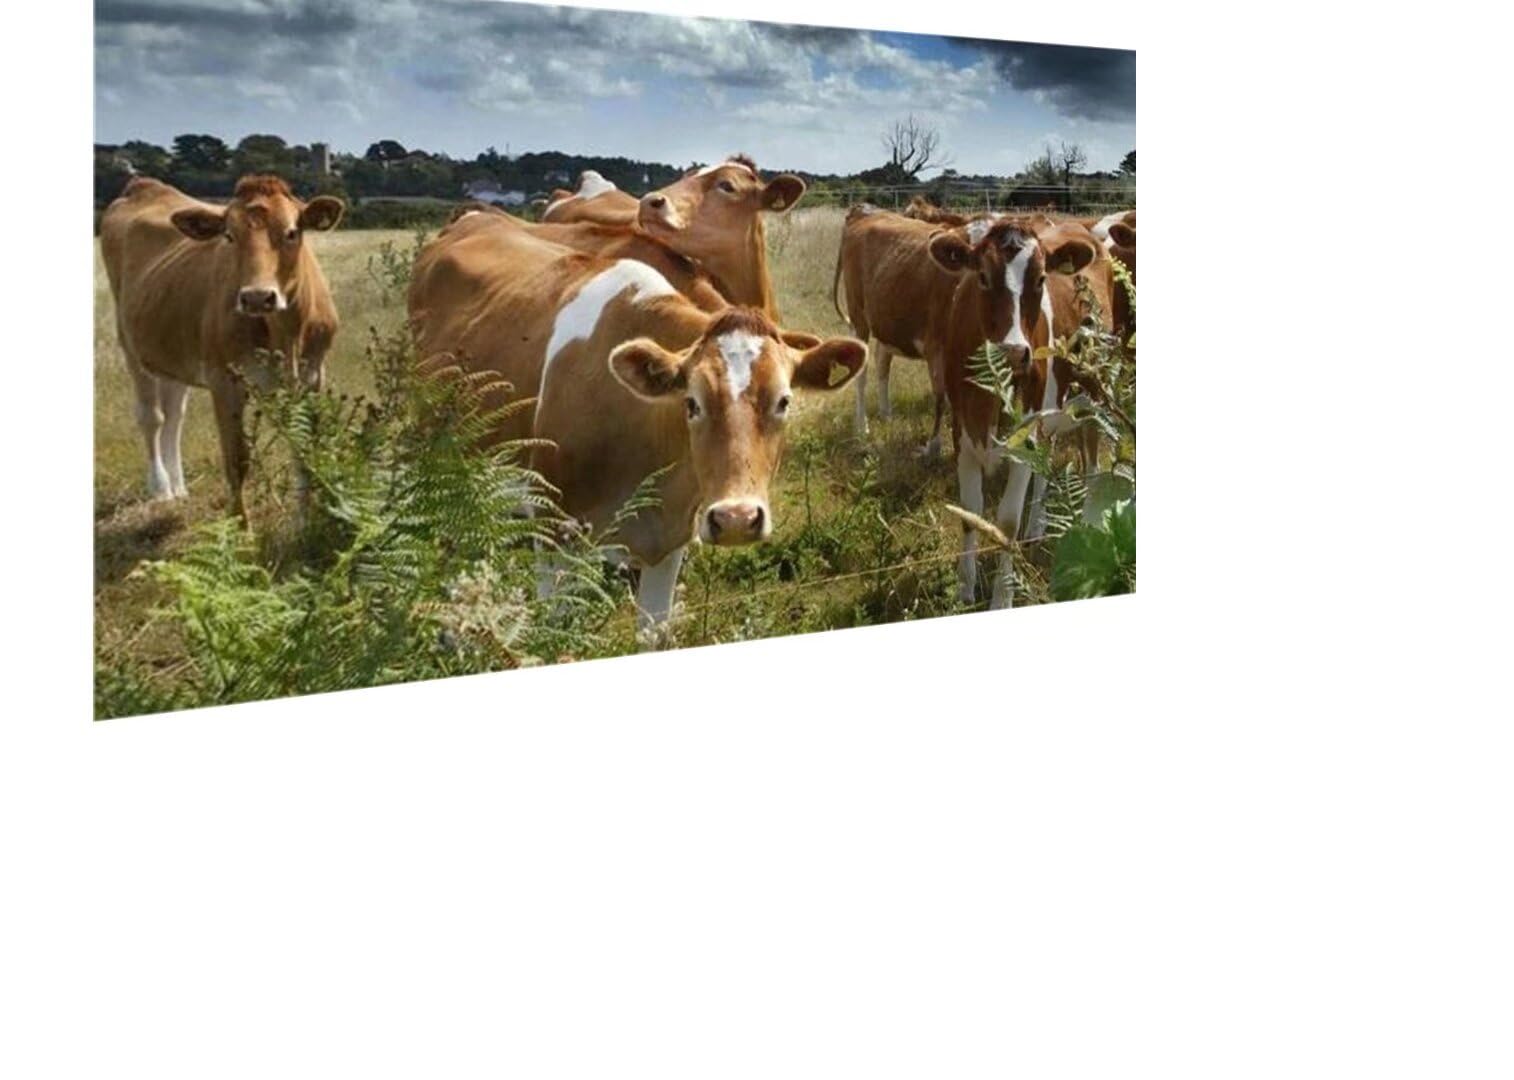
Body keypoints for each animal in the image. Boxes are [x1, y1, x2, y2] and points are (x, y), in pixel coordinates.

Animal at [100, 175, 344, 518]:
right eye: (229, 235)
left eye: (291, 232)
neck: (286, 335)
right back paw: (161, 488)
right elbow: (236, 462)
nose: (257, 297)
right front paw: (241, 527)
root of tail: (144, 186)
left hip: (174, 348)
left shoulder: (314, 375)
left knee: (174, 414)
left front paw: (303, 521)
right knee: (152, 417)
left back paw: (178, 487)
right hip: (131, 346)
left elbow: (305, 450)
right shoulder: (224, 380)